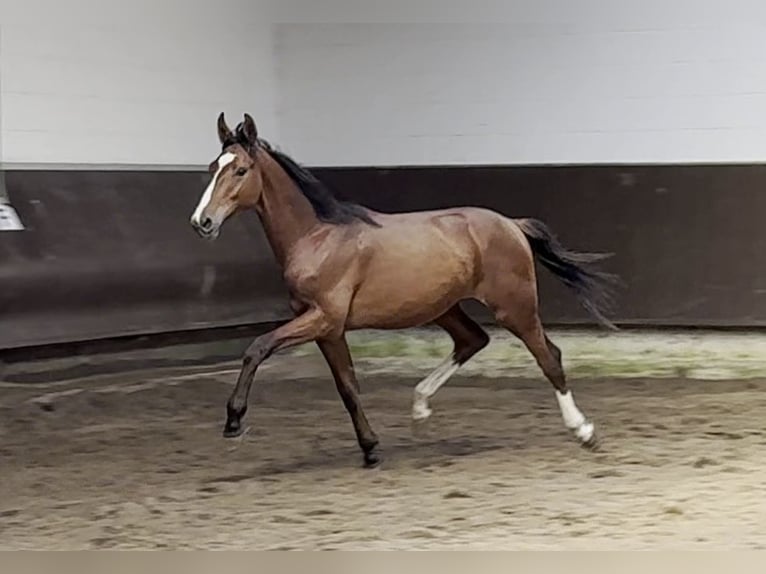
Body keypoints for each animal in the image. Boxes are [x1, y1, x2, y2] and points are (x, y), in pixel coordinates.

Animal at [190, 112, 616, 468]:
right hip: (444, 307)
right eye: (212, 168)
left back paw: (584, 432)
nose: (202, 222)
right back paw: (420, 408)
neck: (317, 236)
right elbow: (347, 387)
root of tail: (512, 224)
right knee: (472, 340)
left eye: (241, 169)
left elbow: (257, 347)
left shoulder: (322, 318)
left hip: (515, 306)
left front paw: (233, 421)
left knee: (549, 356)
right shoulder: (328, 329)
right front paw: (370, 449)